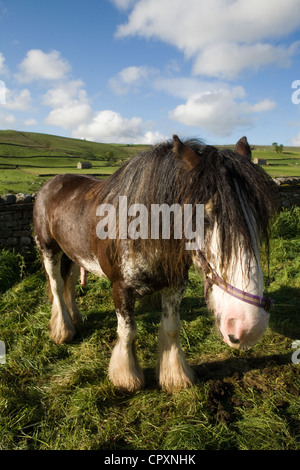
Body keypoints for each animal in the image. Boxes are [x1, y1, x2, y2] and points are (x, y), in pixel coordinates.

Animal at [33, 135, 276, 392]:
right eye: (204, 218)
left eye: (259, 216)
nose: (248, 326)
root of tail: (51, 183)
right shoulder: (120, 290)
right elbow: (127, 331)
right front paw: (126, 377)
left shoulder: (175, 286)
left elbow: (172, 328)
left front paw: (175, 376)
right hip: (49, 249)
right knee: (57, 286)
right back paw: (63, 331)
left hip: (70, 252)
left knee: (68, 281)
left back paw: (74, 318)